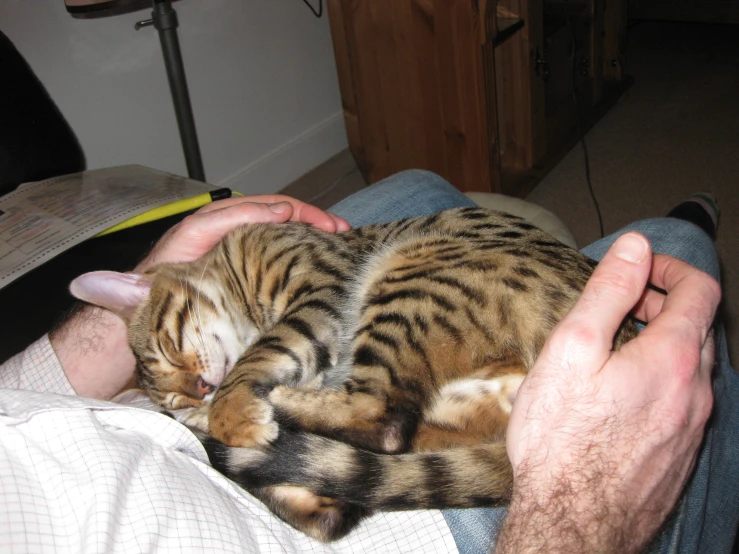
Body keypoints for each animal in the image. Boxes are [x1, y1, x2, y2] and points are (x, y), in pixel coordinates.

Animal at [68, 206, 636, 540]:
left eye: (166, 349)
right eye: (173, 398)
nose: (199, 394)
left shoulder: (319, 288)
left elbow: (262, 352)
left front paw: (232, 413)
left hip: (413, 280)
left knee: (381, 416)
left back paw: (275, 407)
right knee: (387, 442)